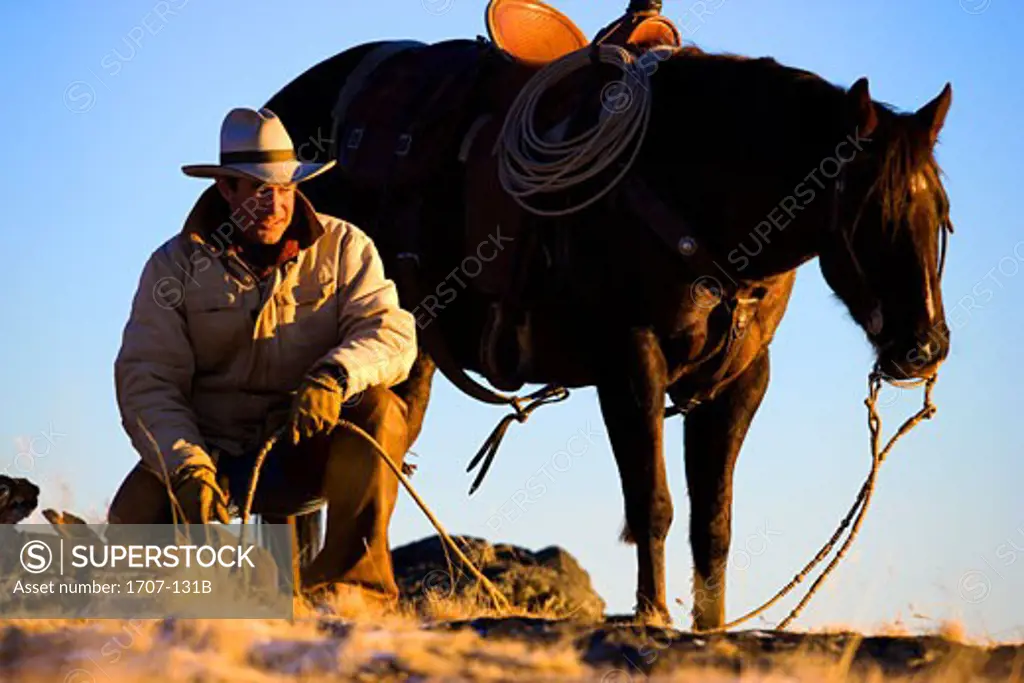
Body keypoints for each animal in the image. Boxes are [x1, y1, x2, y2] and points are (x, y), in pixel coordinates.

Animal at [262, 37, 950, 626]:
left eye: (941, 213)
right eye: (872, 211)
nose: (923, 346)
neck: (692, 182)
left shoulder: (740, 380)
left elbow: (715, 521)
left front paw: (711, 624)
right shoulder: (630, 359)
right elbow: (653, 500)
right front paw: (653, 614)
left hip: (414, 356)